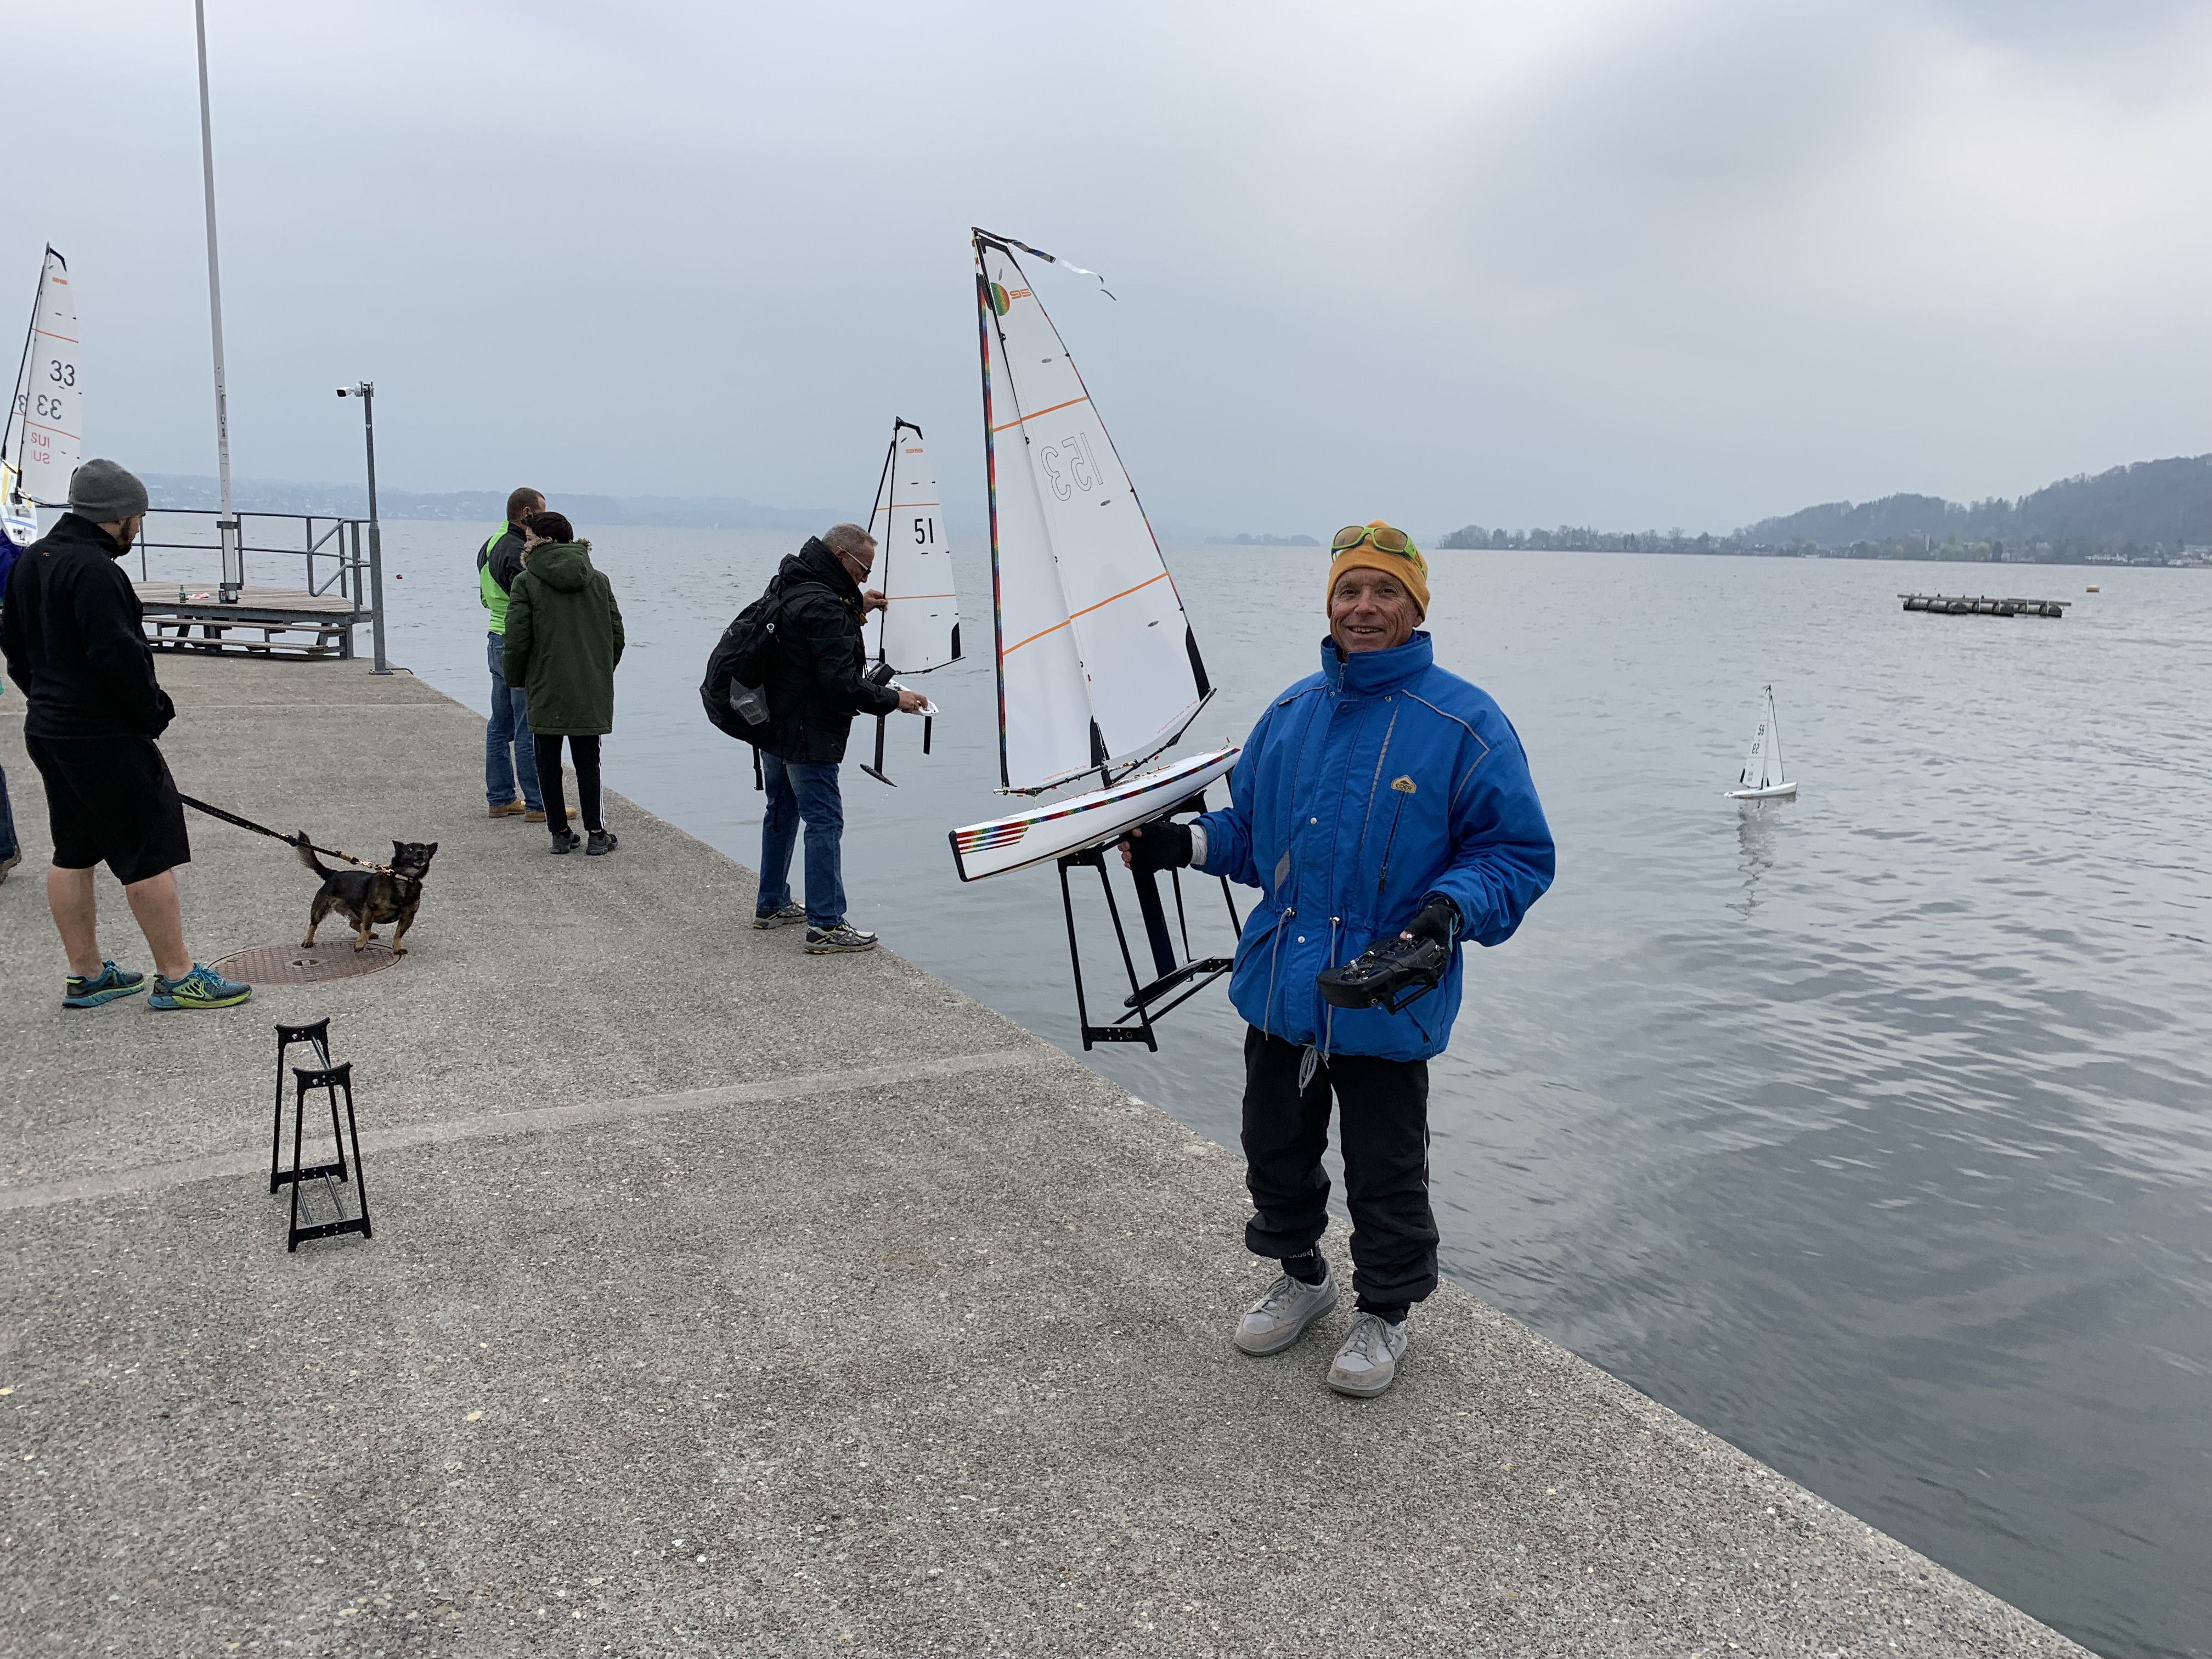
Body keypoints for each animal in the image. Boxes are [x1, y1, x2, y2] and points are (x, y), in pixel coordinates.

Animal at [299, 839, 439, 956]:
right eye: (409, 850)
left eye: (425, 851)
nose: (421, 853)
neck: (404, 880)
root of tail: (333, 873)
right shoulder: (370, 910)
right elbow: (366, 928)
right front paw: (360, 943)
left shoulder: (408, 917)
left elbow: (398, 934)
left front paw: (397, 948)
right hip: (320, 908)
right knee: (314, 925)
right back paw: (308, 940)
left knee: (353, 923)